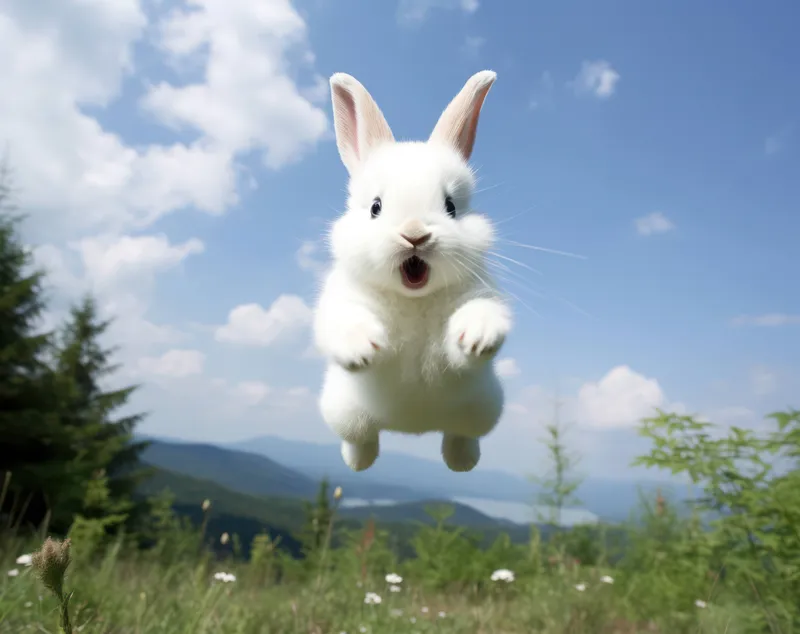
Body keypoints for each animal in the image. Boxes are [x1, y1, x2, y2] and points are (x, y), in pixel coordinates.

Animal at [313, 70, 511, 473]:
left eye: (451, 207)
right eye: (375, 207)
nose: (415, 234)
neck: (413, 297)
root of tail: (413, 428)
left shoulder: (479, 295)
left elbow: (478, 317)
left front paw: (477, 337)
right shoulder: (341, 303)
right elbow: (343, 322)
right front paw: (362, 348)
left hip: (484, 407)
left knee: (461, 436)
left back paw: (462, 461)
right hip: (342, 410)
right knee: (359, 439)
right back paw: (358, 463)